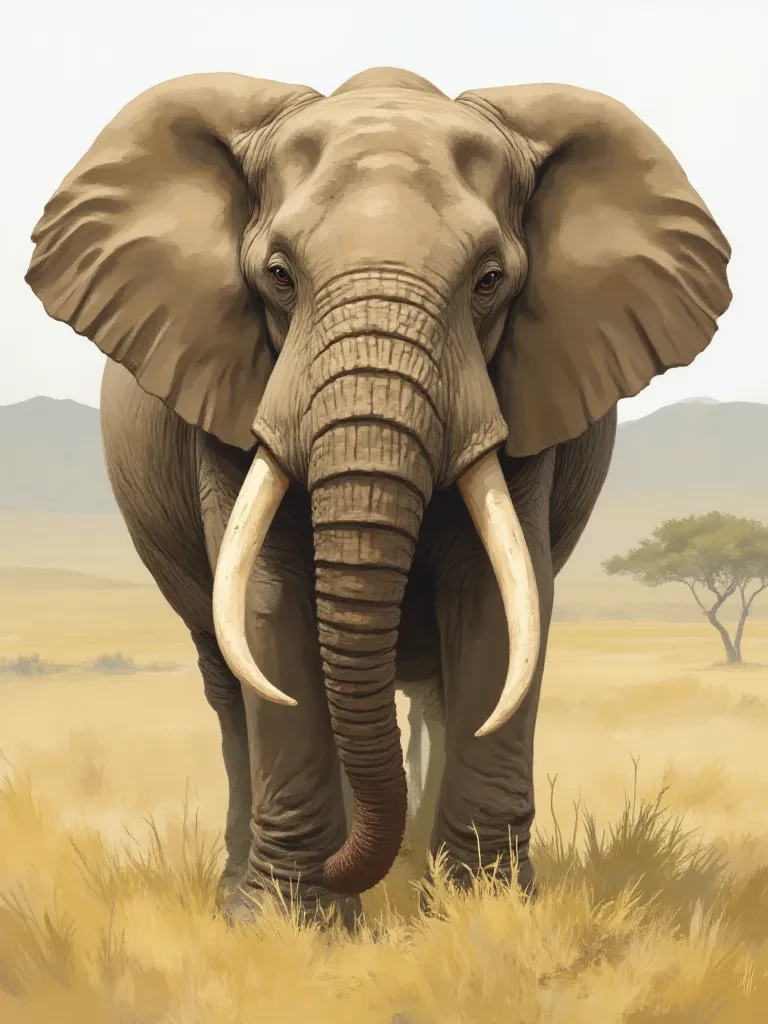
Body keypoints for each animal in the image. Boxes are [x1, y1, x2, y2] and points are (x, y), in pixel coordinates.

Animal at [24, 66, 731, 928]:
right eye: (279, 276)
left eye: (489, 281)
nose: (354, 869)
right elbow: (265, 603)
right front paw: (291, 926)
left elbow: (499, 601)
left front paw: (479, 916)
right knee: (226, 680)